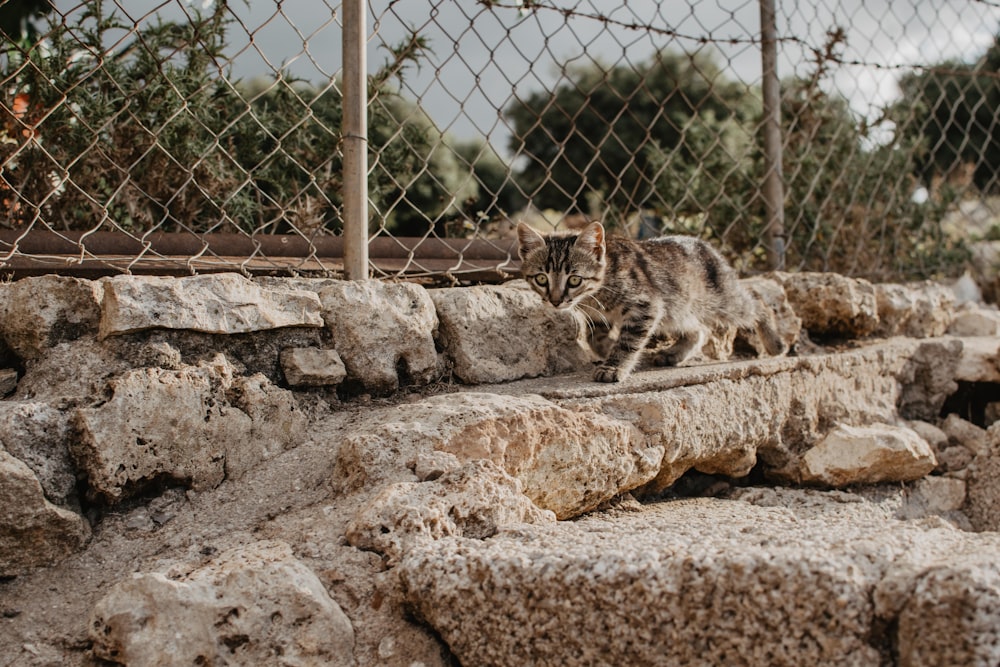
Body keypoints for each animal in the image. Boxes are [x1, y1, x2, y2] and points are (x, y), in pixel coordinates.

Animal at [516, 222, 788, 384]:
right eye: (541, 278)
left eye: (574, 279)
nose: (555, 300)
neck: (597, 292)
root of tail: (708, 246)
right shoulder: (598, 316)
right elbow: (598, 340)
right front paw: (610, 352)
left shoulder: (647, 305)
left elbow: (628, 341)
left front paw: (614, 366)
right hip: (677, 308)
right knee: (698, 330)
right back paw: (673, 354)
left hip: (720, 300)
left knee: (755, 302)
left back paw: (775, 342)